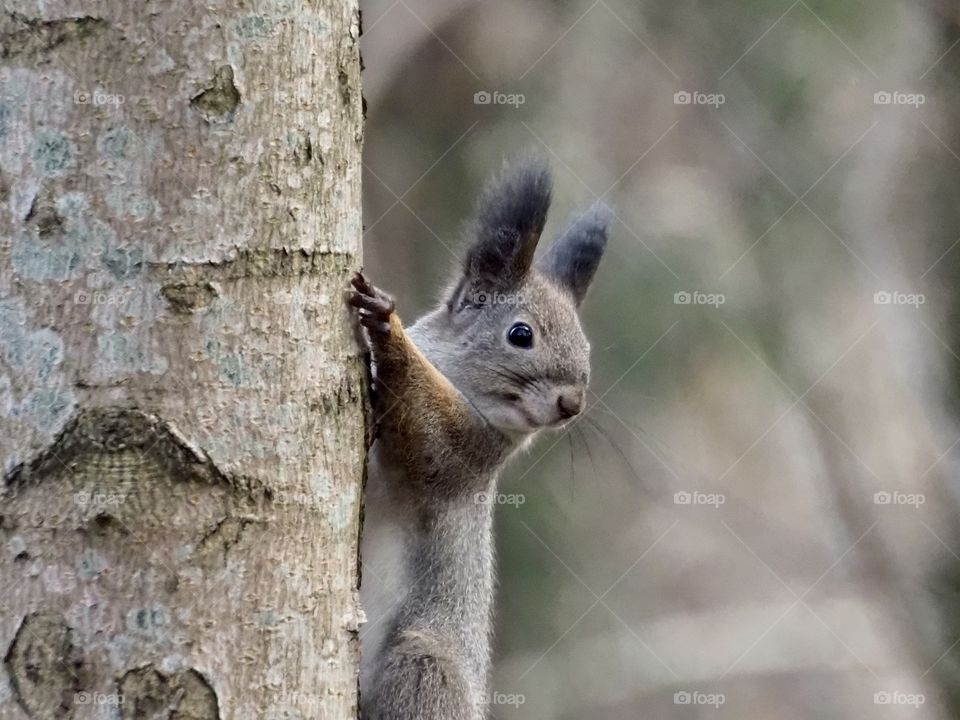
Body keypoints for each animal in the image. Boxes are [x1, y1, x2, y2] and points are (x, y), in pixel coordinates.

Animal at [349, 158, 608, 720]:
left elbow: (426, 434)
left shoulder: (462, 452)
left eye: (586, 349)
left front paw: (386, 325)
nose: (572, 404)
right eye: (520, 334)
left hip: (423, 668)